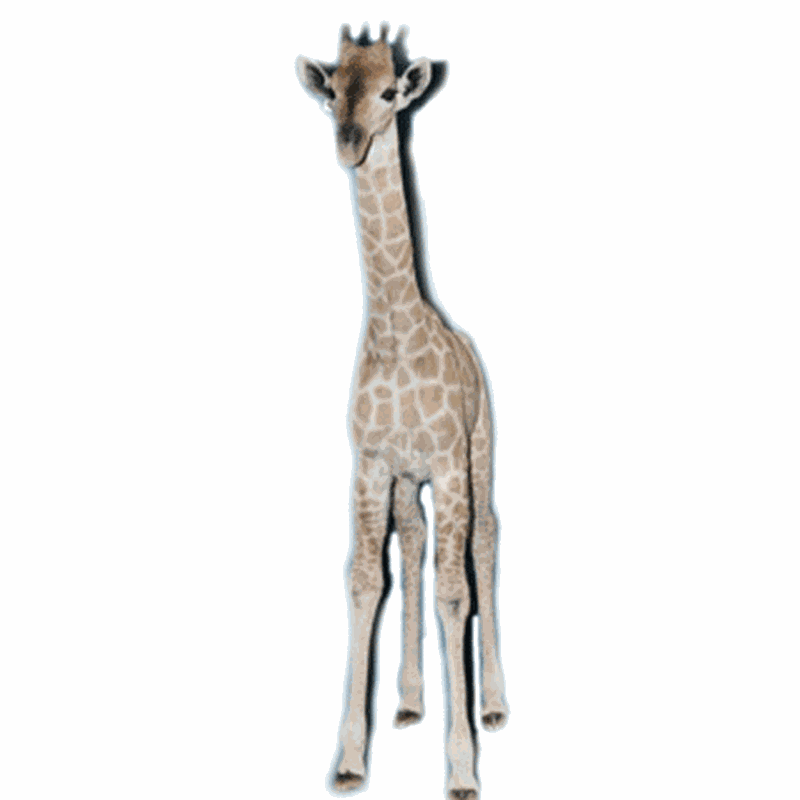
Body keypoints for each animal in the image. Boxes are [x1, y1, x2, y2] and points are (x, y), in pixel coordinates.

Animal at [296, 24, 508, 799]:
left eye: (390, 92)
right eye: (332, 90)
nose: (349, 142)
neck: (396, 332)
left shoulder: (446, 461)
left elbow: (454, 593)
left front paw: (463, 768)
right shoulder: (373, 465)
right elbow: (365, 581)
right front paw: (351, 759)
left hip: (479, 452)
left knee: (484, 543)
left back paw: (494, 704)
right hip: (408, 484)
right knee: (413, 544)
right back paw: (411, 699)